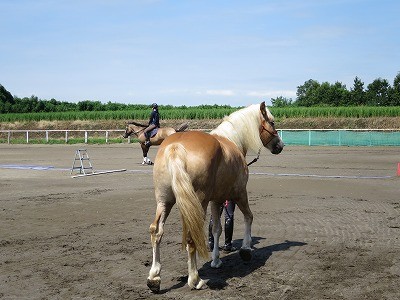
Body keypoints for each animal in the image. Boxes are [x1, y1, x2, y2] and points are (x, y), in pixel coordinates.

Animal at [147, 102, 284, 292]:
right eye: (272, 122)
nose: (280, 145)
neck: (232, 141)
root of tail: (175, 147)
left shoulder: (216, 200)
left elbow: (216, 229)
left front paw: (216, 260)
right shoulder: (240, 193)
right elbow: (248, 217)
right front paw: (246, 249)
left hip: (164, 201)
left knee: (156, 231)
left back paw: (154, 277)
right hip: (198, 203)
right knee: (191, 237)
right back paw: (195, 279)